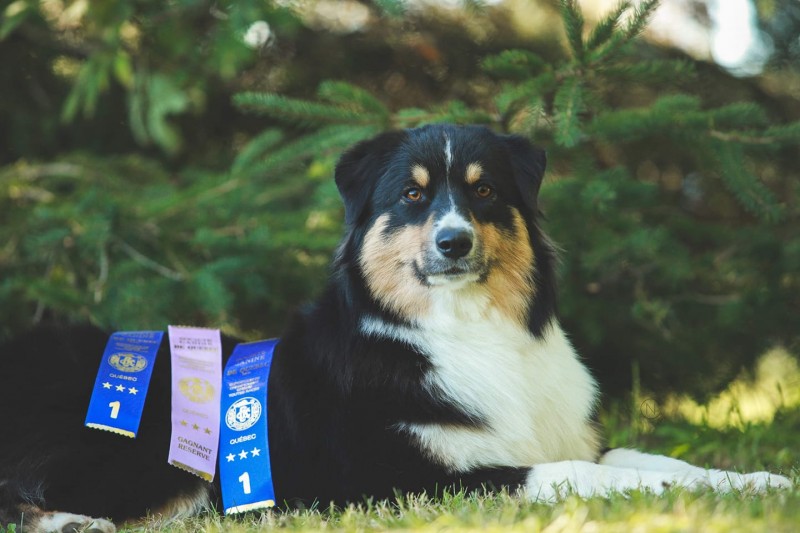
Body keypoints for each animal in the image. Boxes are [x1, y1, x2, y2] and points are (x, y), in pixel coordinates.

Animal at [0, 123, 792, 528]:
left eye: (483, 190)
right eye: (412, 197)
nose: (454, 242)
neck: (466, 330)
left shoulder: (567, 435)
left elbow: (656, 462)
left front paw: (757, 481)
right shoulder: (411, 478)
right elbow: (576, 475)